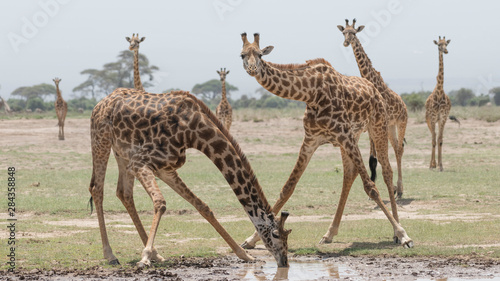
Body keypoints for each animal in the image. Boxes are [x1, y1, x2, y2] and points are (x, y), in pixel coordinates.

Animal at [89, 87, 292, 266]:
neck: (194, 131)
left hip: (121, 152)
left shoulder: (164, 167)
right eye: (275, 234)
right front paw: (145, 256)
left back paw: (156, 254)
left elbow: (202, 206)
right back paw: (111, 255)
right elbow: (160, 203)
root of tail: (101, 102)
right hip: (101, 139)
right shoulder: (140, 162)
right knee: (97, 189)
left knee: (124, 193)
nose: (284, 261)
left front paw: (244, 255)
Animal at [338, 19, 408, 197]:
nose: (346, 43)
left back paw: (400, 189)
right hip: (390, 126)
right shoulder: (370, 126)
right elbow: (372, 158)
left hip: (401, 123)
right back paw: (396, 188)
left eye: (353, 32)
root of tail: (404, 104)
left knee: (399, 149)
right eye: (344, 32)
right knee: (396, 147)